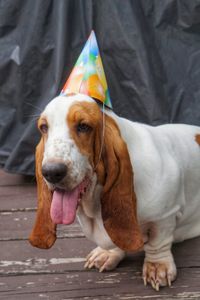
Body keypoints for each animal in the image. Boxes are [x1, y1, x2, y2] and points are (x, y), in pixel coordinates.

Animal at [29, 94, 200, 290]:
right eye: (43, 127)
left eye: (83, 126)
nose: (51, 172)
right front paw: (108, 253)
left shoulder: (166, 215)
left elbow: (158, 243)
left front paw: (158, 267)